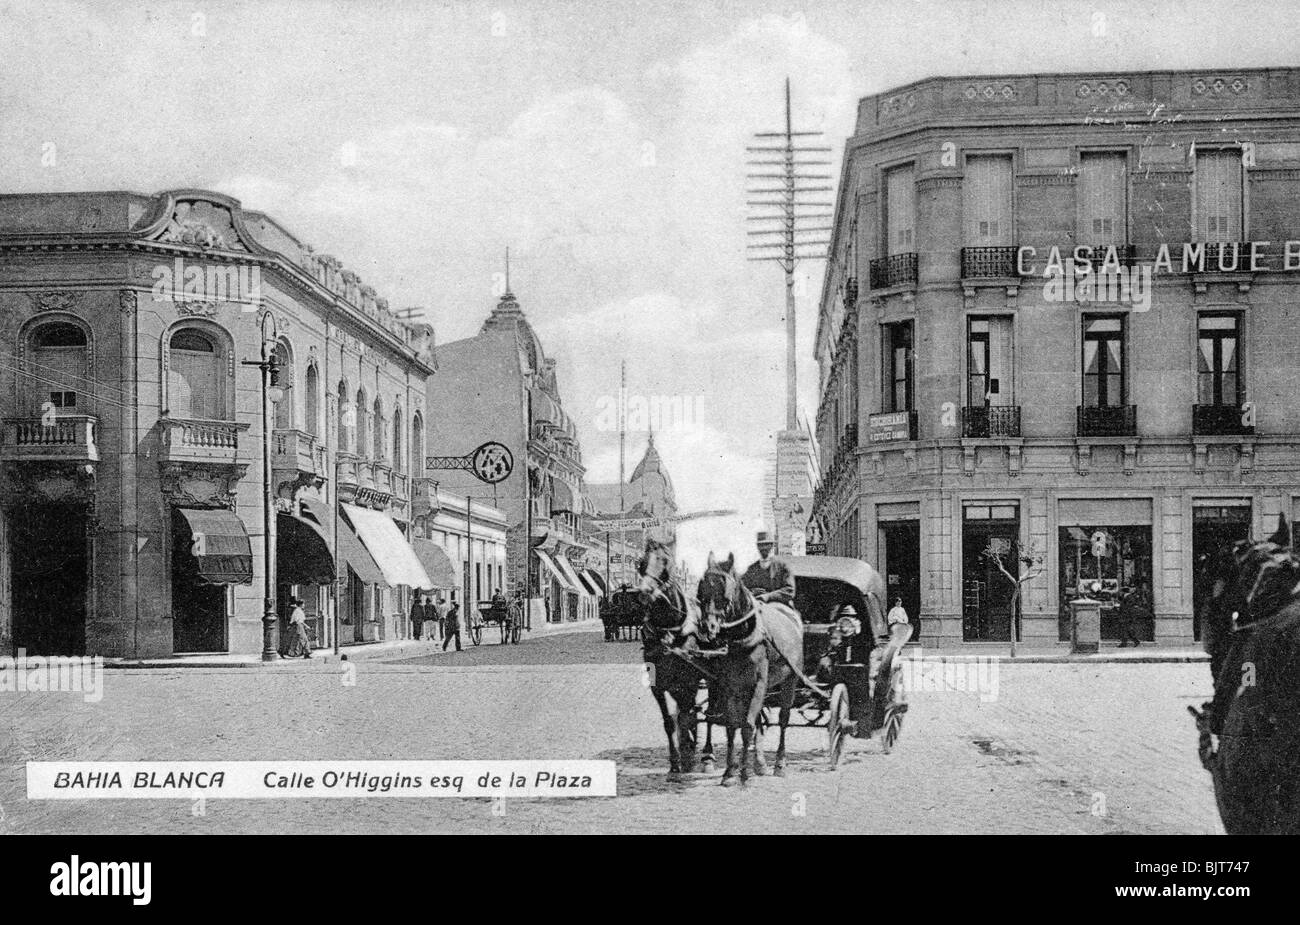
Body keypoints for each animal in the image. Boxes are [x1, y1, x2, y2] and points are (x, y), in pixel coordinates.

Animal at [637, 537, 717, 774]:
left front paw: (687, 754)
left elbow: (685, 716)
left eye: (666, 563)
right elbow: (670, 722)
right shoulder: (658, 685)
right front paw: (675, 761)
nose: (645, 592)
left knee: (709, 713)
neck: (669, 629)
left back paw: (707, 754)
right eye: (641, 563)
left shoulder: (688, 682)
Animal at [702, 553, 800, 784]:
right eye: (702, 590)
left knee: (783, 719)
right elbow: (732, 726)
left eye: (724, 592)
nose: (708, 627)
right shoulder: (730, 685)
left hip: (789, 679)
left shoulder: (758, 683)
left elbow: (746, 726)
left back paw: (779, 764)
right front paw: (730, 772)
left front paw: (744, 774)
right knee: (759, 720)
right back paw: (760, 764)